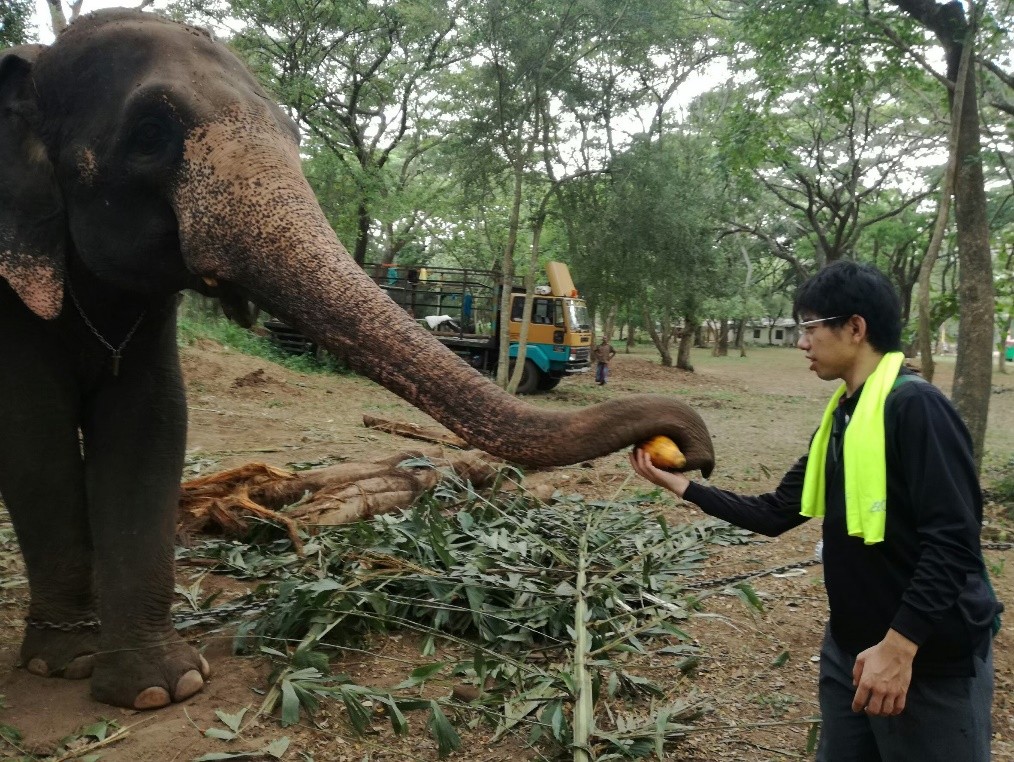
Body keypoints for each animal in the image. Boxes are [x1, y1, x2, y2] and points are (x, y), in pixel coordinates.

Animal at [0, 8, 713, 714]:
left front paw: (160, 686)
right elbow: (33, 433)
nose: (695, 454)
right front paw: (86, 669)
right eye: (149, 135)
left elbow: (151, 423)